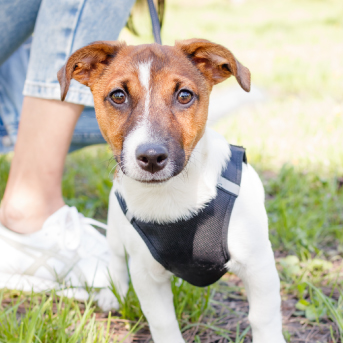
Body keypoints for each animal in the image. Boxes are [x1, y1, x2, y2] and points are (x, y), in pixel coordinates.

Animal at [59, 39, 288, 343]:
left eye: (184, 95)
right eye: (118, 96)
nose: (151, 157)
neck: (172, 195)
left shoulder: (258, 265)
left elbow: (263, 318)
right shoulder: (146, 274)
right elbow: (162, 322)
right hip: (115, 227)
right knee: (116, 259)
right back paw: (112, 293)